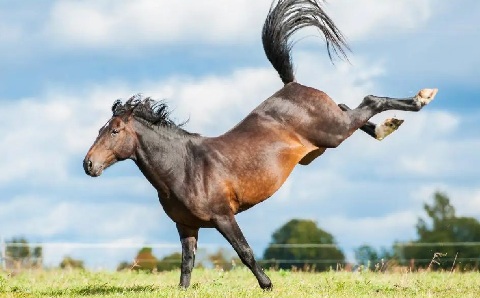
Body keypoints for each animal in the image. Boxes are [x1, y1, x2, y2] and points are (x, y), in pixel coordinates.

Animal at [83, 0, 438, 290]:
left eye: (114, 131)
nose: (88, 165)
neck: (184, 167)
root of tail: (292, 85)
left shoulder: (224, 216)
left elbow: (245, 252)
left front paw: (267, 285)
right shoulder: (186, 226)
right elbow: (186, 266)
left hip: (333, 132)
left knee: (369, 100)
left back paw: (419, 100)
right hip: (332, 131)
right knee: (350, 105)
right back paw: (387, 127)